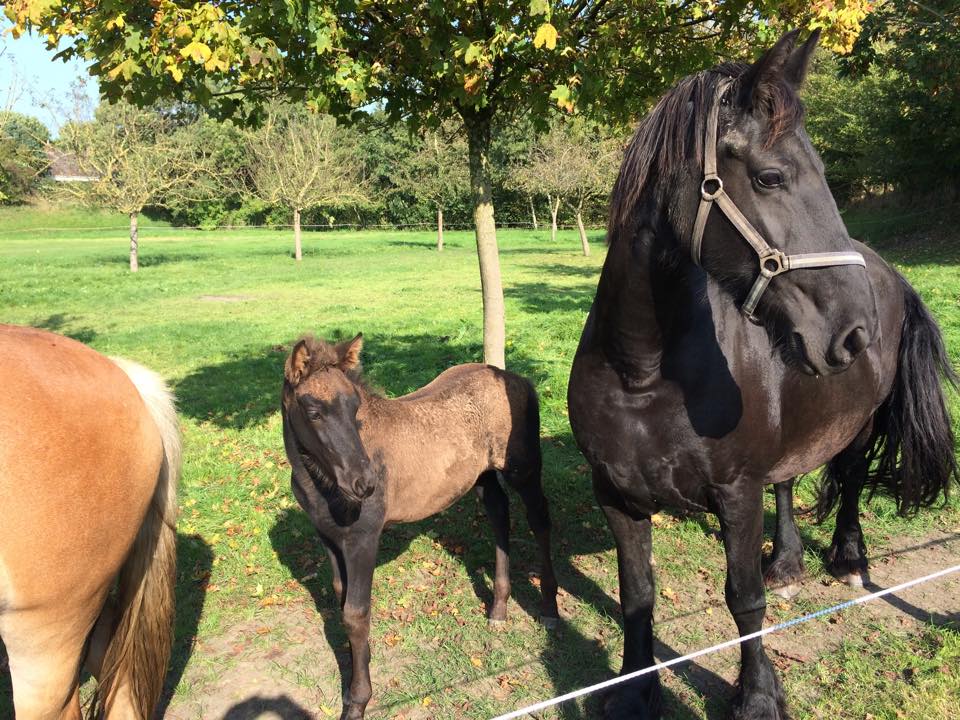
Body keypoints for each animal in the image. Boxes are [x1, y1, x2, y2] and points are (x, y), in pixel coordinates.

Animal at [568, 31, 956, 716]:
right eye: (771, 177)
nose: (855, 332)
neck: (641, 372)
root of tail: (890, 274)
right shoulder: (615, 493)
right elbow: (637, 595)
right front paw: (635, 691)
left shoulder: (735, 493)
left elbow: (742, 601)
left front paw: (757, 696)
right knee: (790, 478)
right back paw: (789, 561)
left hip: (857, 423)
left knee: (850, 478)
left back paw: (846, 556)